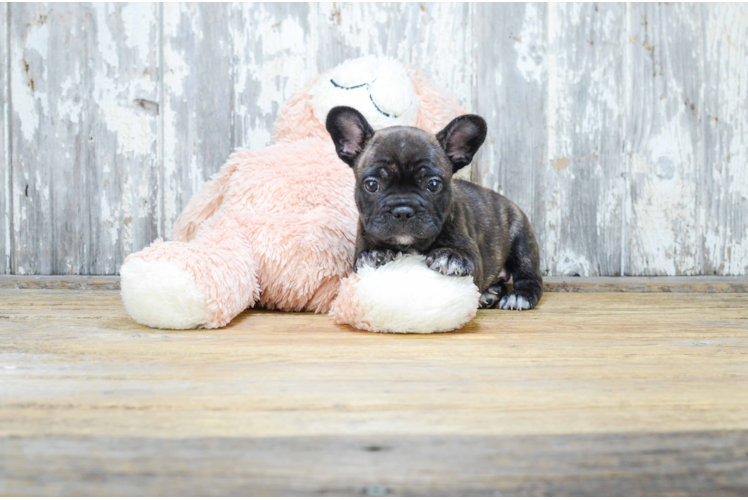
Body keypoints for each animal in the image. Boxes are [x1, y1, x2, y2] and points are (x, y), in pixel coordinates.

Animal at [324, 106, 540, 308]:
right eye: (371, 185)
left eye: (433, 184)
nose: (403, 211)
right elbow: (367, 253)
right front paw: (375, 253)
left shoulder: (473, 256)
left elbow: (467, 257)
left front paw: (451, 255)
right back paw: (491, 293)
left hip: (521, 239)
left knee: (529, 275)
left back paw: (519, 296)